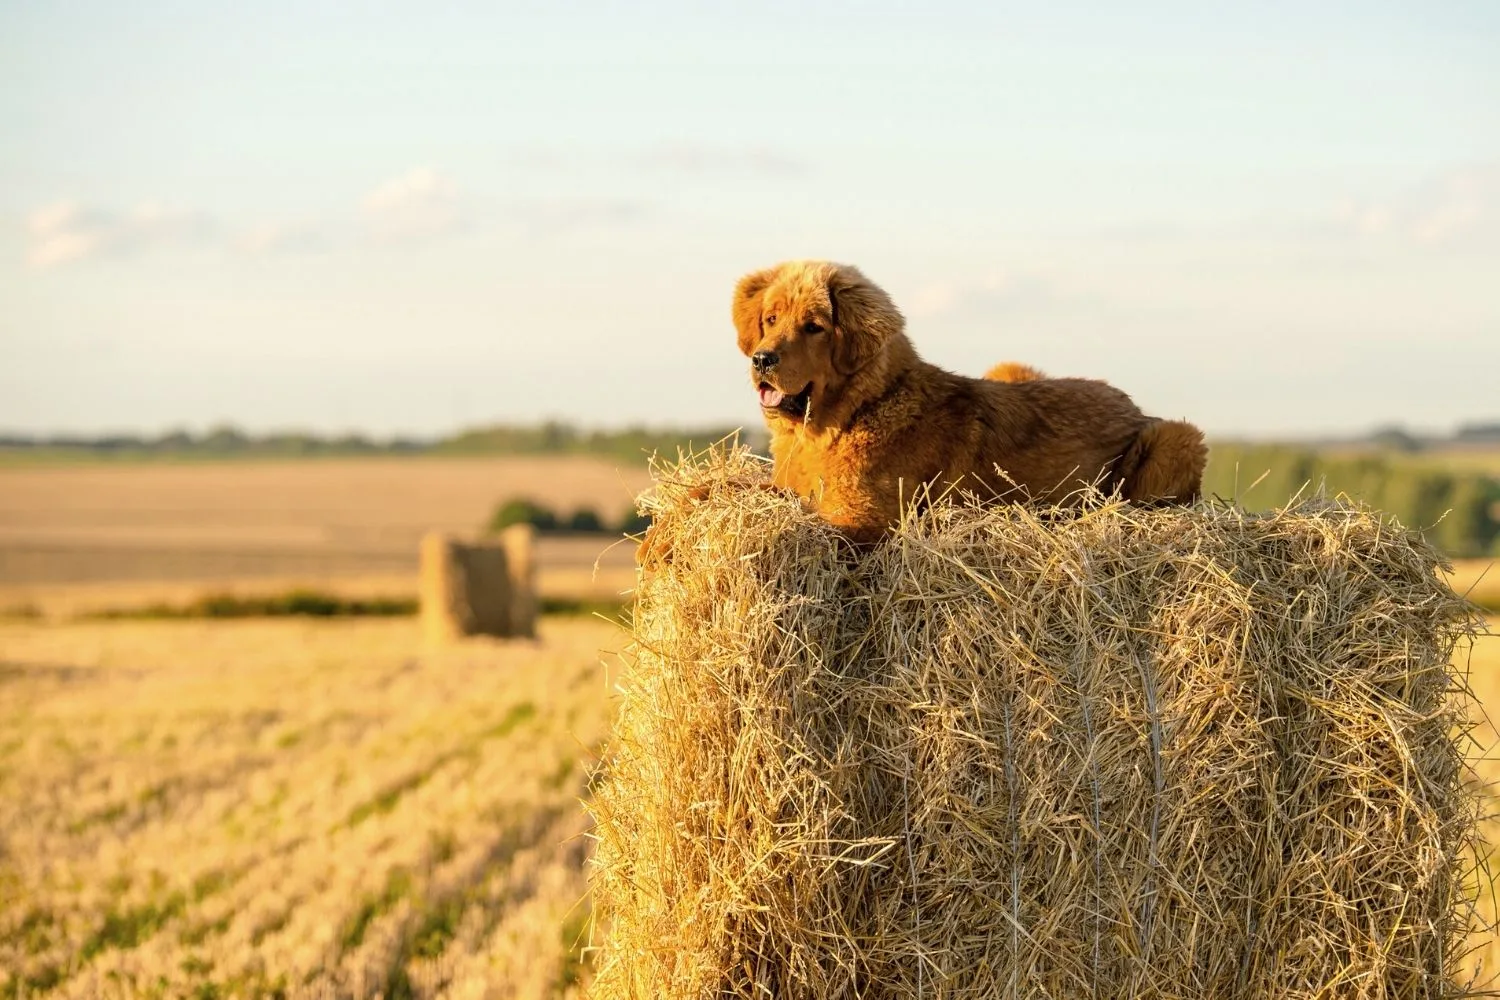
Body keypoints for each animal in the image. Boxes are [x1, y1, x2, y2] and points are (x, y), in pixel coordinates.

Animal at [735, 257, 1206, 539]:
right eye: (770, 319)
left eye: (814, 326)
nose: (762, 359)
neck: (862, 408)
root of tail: (1130, 404)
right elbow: (735, 485)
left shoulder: (865, 518)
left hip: (1179, 439)